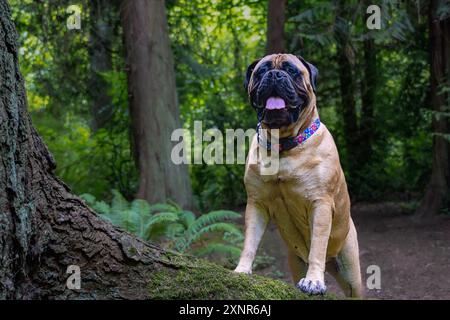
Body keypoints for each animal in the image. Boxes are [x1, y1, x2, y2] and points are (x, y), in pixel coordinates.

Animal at [234, 53, 364, 298]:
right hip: (295, 260)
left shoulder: (320, 204)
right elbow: (249, 243)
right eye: (261, 71)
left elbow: (317, 248)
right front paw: (241, 270)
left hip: (351, 271)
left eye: (292, 71)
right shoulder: (257, 204)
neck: (283, 145)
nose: (275, 74)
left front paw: (314, 281)